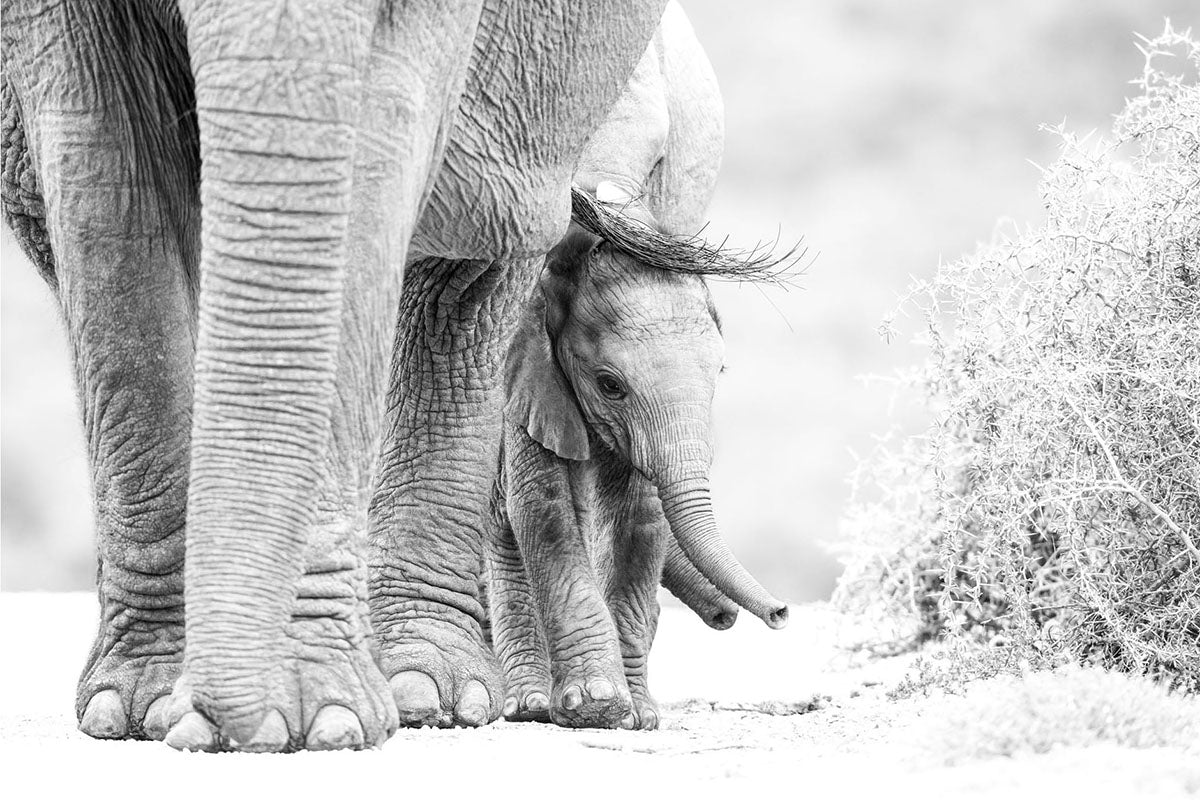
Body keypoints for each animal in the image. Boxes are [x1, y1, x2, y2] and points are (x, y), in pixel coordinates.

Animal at [1, 0, 696, 752]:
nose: (215, 723)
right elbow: (111, 188)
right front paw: (142, 710)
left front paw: (320, 719)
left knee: (471, 264)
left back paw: (429, 694)